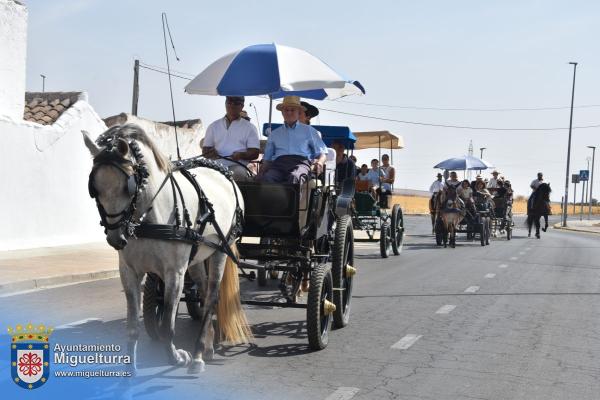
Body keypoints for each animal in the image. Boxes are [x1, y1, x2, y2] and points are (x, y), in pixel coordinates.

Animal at [82, 123, 251, 374]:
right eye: (94, 190)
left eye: (128, 187)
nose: (116, 238)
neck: (145, 219)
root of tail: (226, 175)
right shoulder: (129, 272)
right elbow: (132, 327)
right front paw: (129, 371)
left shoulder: (175, 273)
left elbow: (167, 327)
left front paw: (177, 357)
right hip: (198, 256)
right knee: (203, 292)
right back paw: (208, 346)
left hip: (221, 249)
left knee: (212, 296)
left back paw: (198, 354)